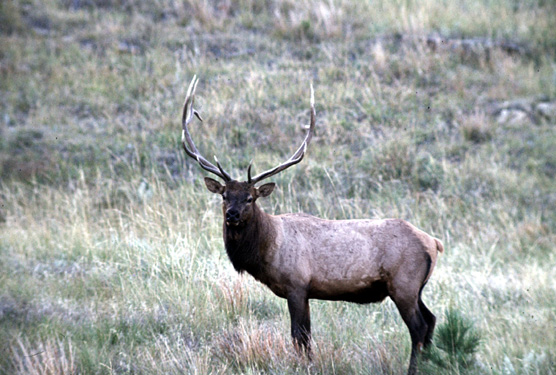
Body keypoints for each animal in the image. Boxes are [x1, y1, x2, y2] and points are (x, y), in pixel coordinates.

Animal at [180, 75, 446, 374]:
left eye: (250, 198)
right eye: (225, 195)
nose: (232, 215)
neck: (267, 250)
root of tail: (434, 242)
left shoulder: (296, 285)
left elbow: (300, 336)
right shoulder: (304, 291)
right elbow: (305, 337)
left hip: (404, 283)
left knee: (419, 327)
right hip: (416, 287)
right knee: (432, 320)